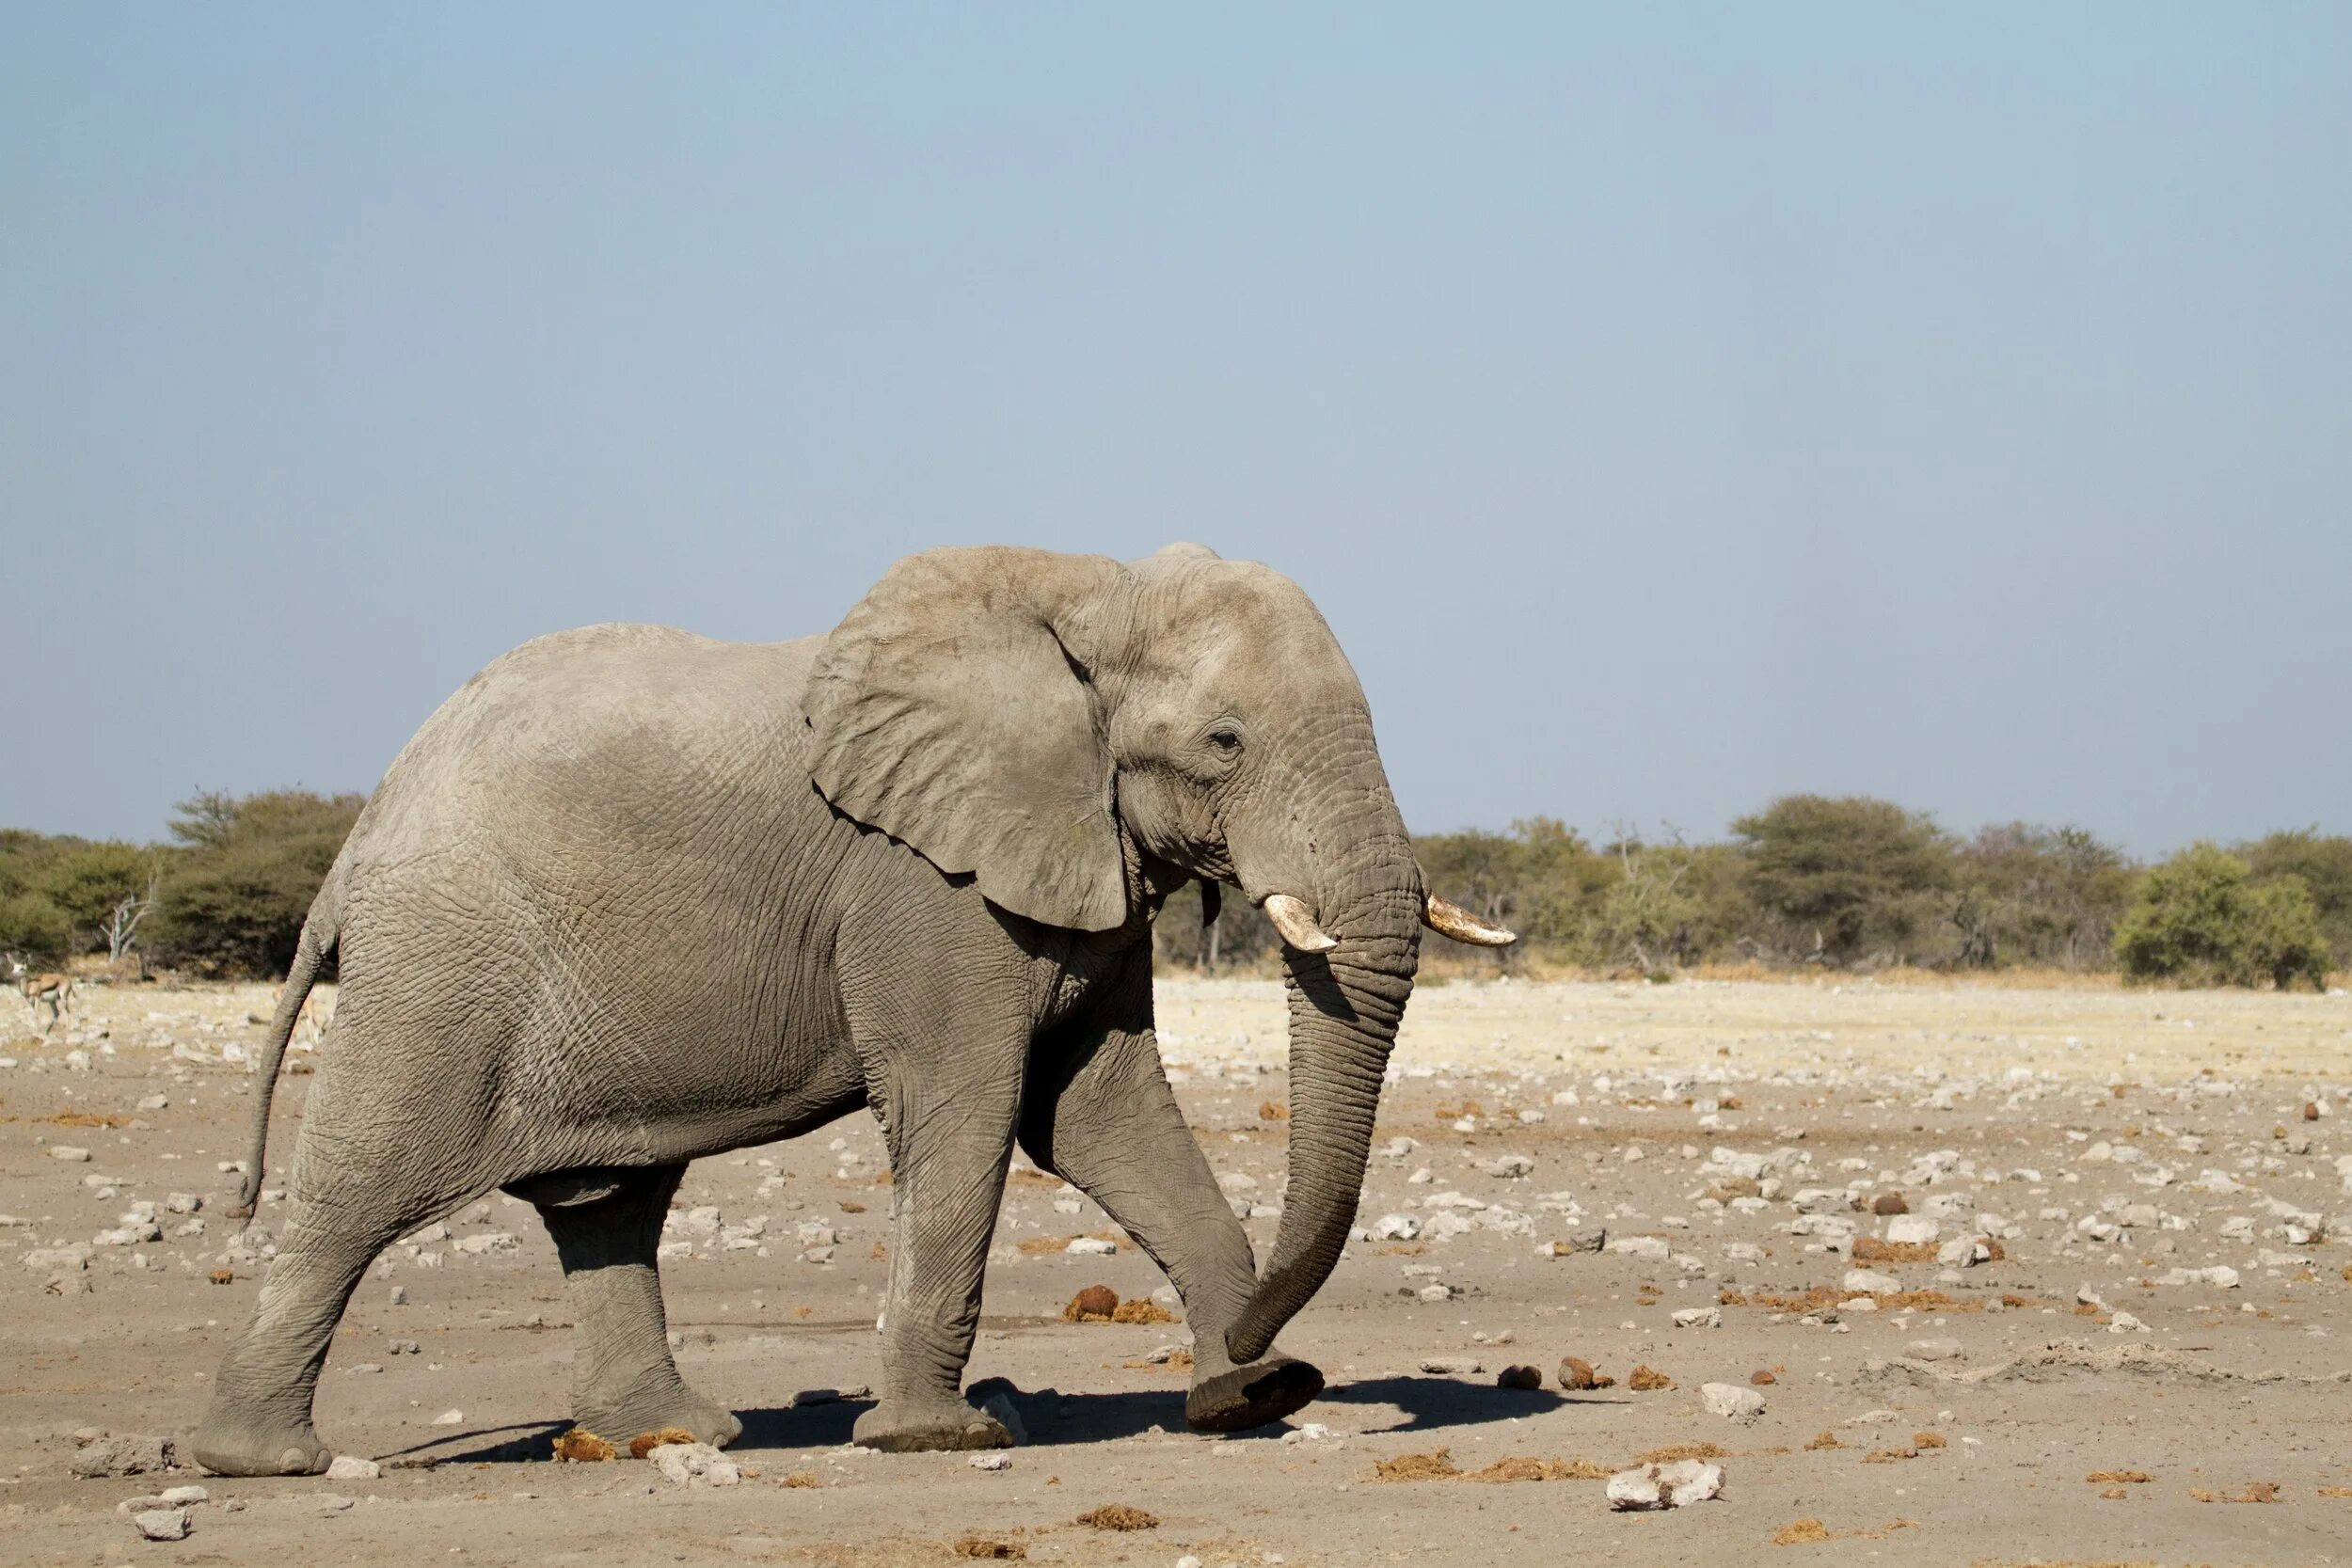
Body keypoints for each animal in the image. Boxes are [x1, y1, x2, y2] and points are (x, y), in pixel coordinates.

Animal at [183, 535, 1505, 1476]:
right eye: (1225, 741)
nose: (1262, 1349)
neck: (1087, 593)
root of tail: (362, 832)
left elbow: (1100, 1113)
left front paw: (1252, 1394)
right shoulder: (922, 884)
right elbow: (968, 1109)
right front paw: (938, 1437)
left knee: (608, 1204)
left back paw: (675, 1433)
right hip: (445, 959)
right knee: (364, 1182)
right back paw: (260, 1459)